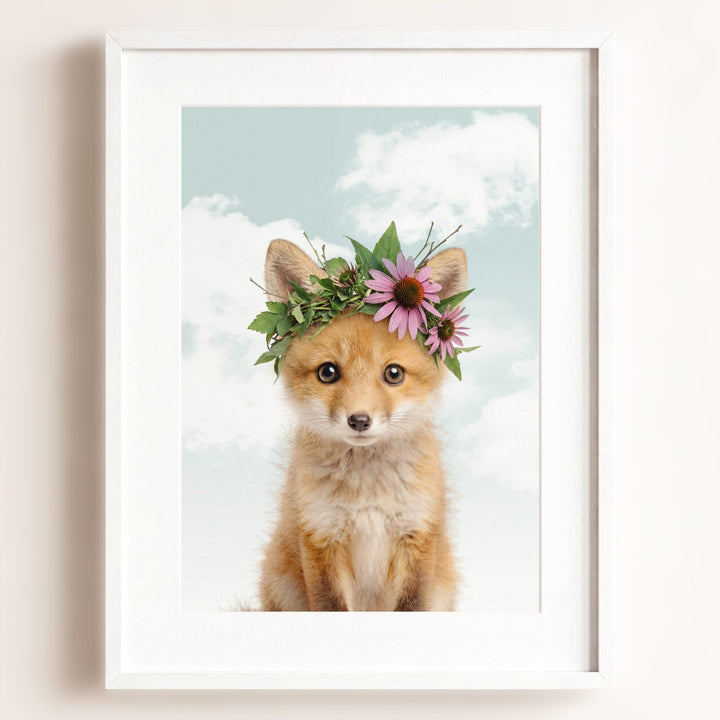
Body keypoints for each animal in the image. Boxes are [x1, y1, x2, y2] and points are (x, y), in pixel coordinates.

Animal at [258, 239, 467, 611]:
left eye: (394, 373)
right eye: (328, 372)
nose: (359, 420)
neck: (368, 494)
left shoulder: (416, 536)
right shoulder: (321, 536)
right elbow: (330, 606)